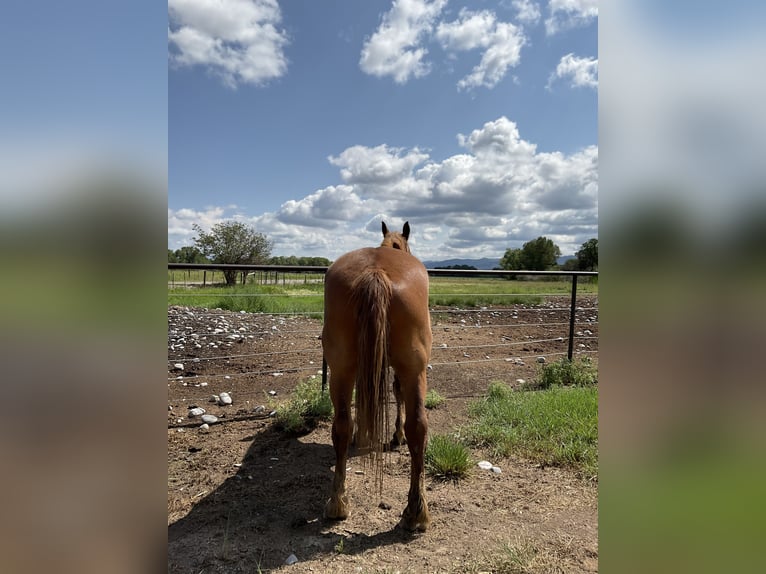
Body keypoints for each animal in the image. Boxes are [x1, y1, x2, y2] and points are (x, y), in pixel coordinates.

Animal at [322, 223, 432, 532]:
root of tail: (375, 273)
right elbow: (395, 392)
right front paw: (394, 436)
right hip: (413, 369)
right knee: (417, 426)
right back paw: (415, 512)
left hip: (341, 368)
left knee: (342, 425)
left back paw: (338, 502)